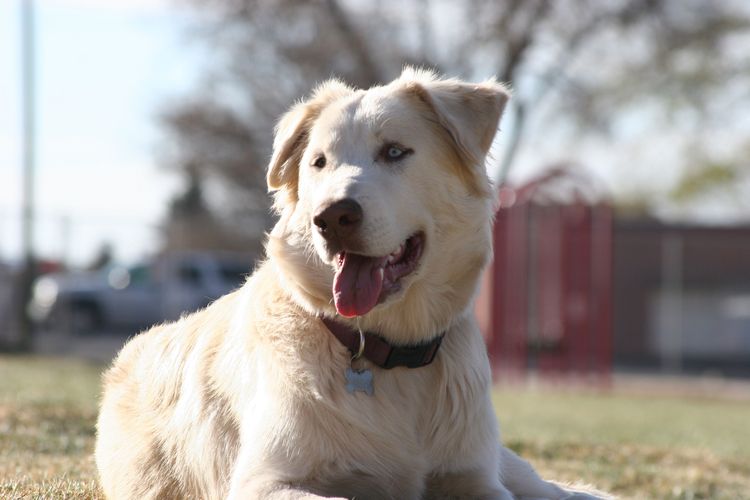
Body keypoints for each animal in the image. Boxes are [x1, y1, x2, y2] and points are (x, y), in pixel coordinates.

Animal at [95, 67, 604, 500]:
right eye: (319, 163)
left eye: (395, 151)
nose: (331, 218)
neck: (383, 348)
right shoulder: (264, 482)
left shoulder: (477, 479)